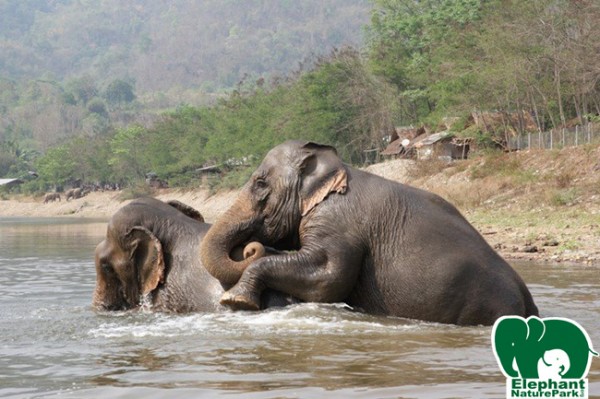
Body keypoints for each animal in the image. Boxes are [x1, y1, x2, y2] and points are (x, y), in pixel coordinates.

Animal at [200, 139, 540, 326]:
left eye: (260, 183)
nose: (249, 247)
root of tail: (529, 304)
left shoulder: (337, 223)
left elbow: (328, 278)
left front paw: (235, 301)